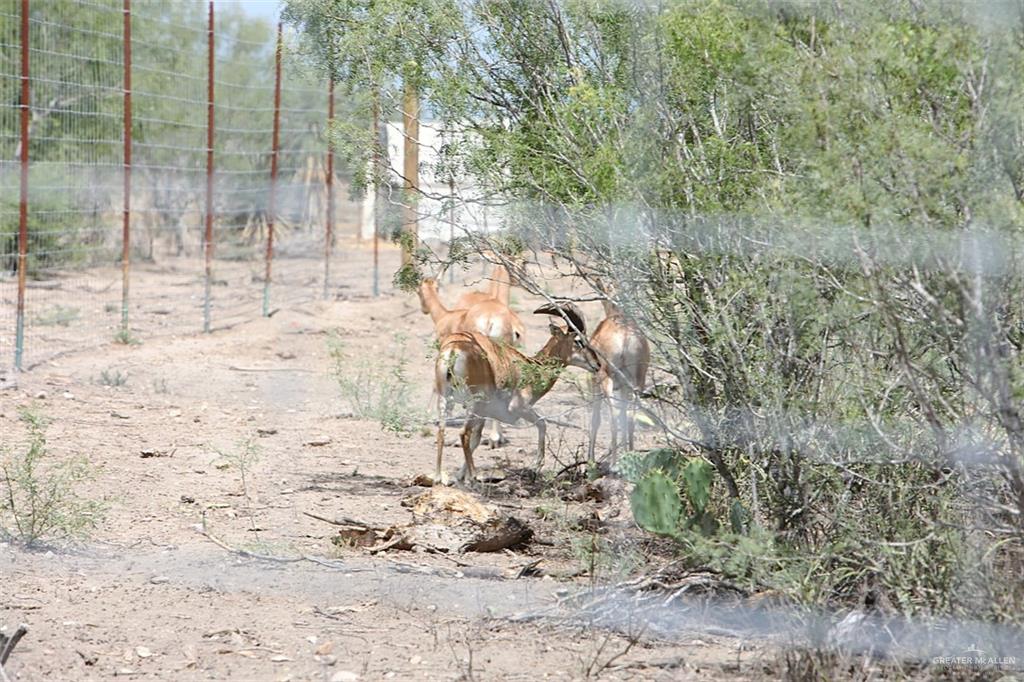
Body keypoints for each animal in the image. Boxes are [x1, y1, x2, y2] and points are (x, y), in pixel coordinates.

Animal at [436, 303, 589, 483]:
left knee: (442, 431)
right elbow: (543, 423)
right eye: (578, 340)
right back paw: (474, 476)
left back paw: (438, 476)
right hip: (476, 403)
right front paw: (536, 466)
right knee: (463, 433)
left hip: (446, 398)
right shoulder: (518, 408)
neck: (531, 367)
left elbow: (477, 439)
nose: (598, 364)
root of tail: (455, 347)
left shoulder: (485, 414)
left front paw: (459, 476)